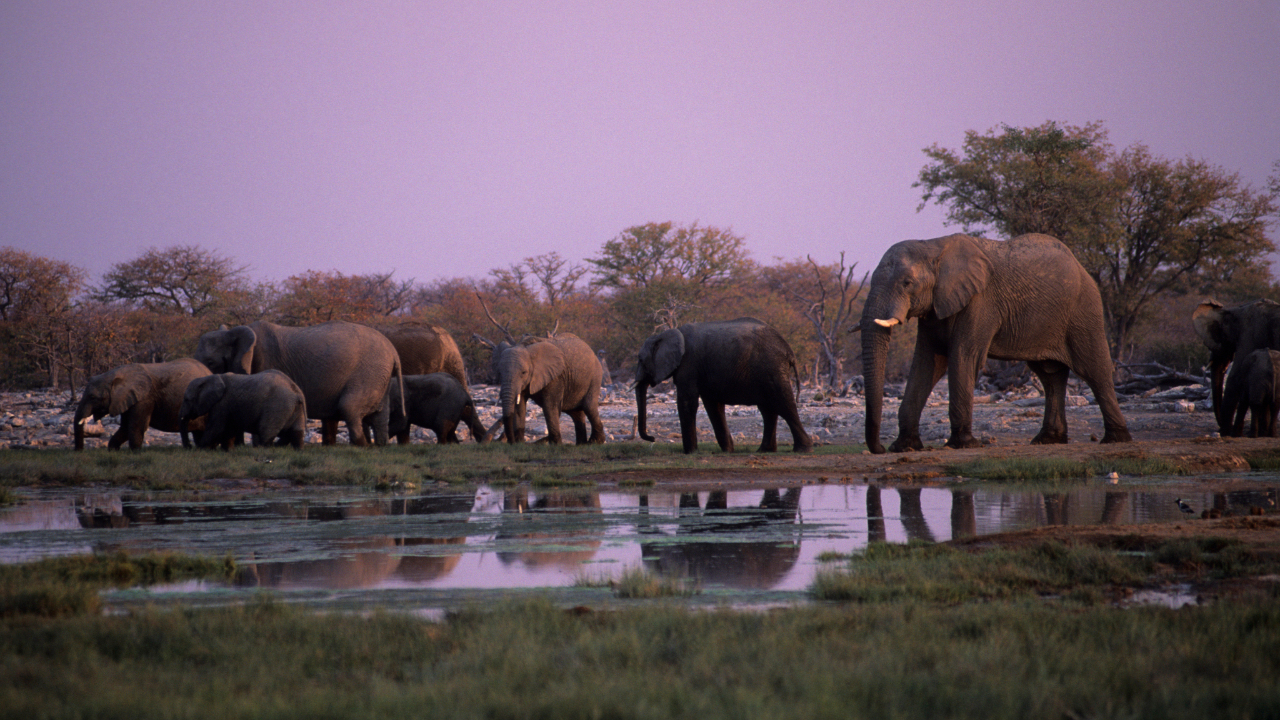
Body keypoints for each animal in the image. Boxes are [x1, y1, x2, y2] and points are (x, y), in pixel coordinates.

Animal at [72, 358, 211, 450]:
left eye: (92, 397)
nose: (79, 452)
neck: (114, 375)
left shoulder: (144, 398)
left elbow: (135, 425)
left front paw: (135, 453)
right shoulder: (127, 399)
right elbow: (125, 427)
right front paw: (113, 451)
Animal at [178, 370, 308, 449]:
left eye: (187, 399)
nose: (189, 447)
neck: (210, 377)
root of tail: (297, 392)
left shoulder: (222, 403)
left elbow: (216, 428)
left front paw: (201, 449)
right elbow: (229, 429)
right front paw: (227, 450)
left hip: (277, 405)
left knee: (266, 432)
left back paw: (263, 450)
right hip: (294, 408)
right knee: (295, 433)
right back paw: (297, 450)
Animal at [193, 320, 403, 446]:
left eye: (210, 362)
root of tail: (394, 352)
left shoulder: (263, 361)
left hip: (369, 373)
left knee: (348, 408)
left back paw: (362, 447)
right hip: (378, 376)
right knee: (379, 415)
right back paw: (379, 446)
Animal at [635, 318, 813, 454]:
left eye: (641, 360)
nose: (653, 438)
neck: (665, 334)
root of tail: (789, 351)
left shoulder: (688, 365)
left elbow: (687, 403)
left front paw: (690, 453)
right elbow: (714, 406)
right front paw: (728, 451)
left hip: (772, 367)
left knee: (784, 403)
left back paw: (802, 449)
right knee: (768, 409)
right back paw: (764, 451)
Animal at [861, 233, 1131, 454]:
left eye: (907, 283)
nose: (880, 448)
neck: (933, 246)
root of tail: (1080, 266)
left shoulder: (981, 302)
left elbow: (963, 357)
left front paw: (963, 445)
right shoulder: (935, 307)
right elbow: (927, 363)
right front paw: (904, 447)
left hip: (1084, 311)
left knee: (1094, 370)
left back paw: (1116, 439)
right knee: (1050, 375)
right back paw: (1047, 440)